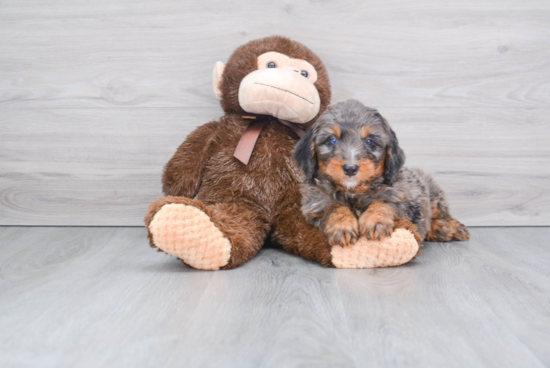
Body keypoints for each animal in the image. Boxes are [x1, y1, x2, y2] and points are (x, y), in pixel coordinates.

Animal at [294, 99, 470, 247]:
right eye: (332, 140)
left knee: (439, 215)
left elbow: (383, 202)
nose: (350, 168)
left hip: (434, 195)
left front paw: (375, 221)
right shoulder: (315, 205)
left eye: (370, 141)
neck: (354, 192)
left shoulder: (402, 199)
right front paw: (342, 225)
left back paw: (448, 227)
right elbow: (334, 207)